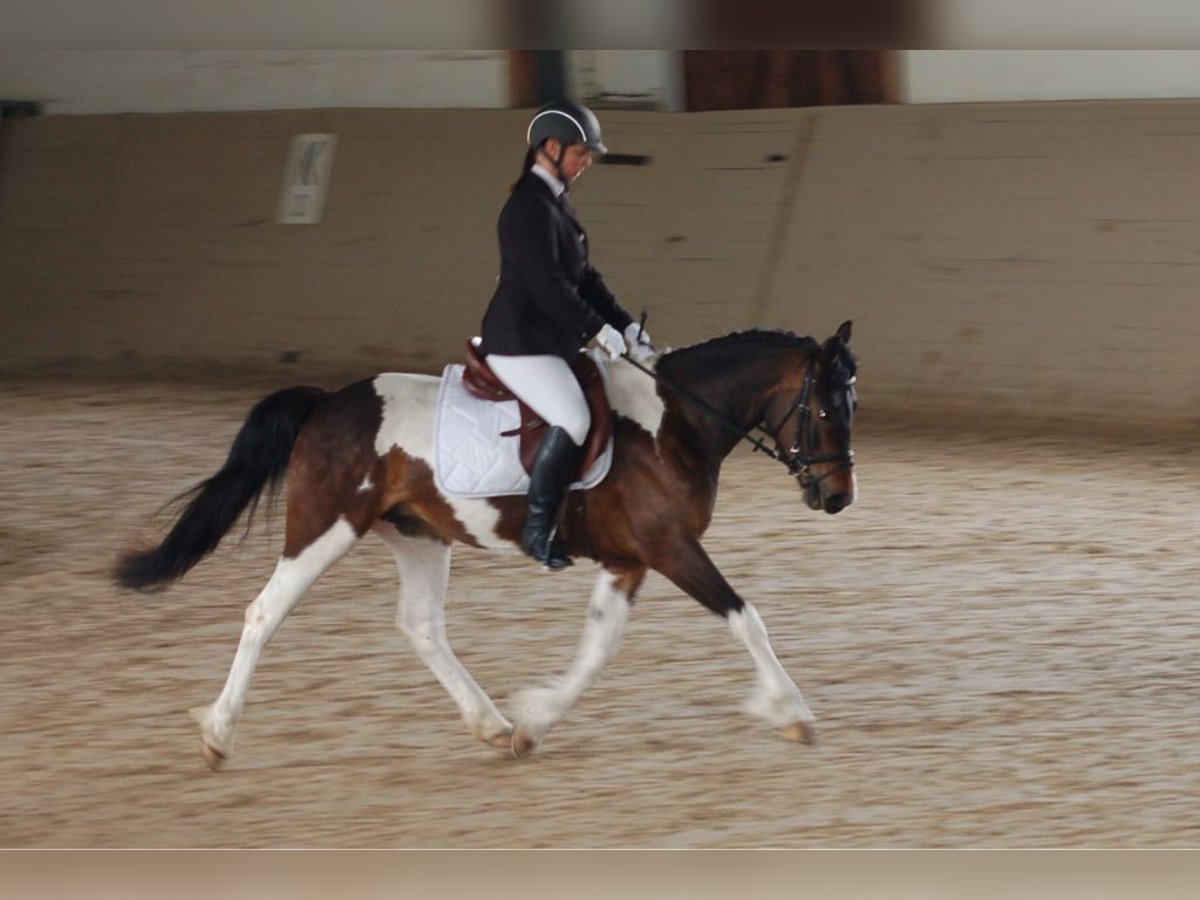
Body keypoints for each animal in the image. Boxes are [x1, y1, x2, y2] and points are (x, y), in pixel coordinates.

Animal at [117, 321, 859, 772]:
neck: (671, 421)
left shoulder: (629, 560)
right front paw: (793, 714)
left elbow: (598, 647)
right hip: (325, 527)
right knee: (264, 613)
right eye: (826, 409)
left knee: (420, 626)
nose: (839, 498)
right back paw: (217, 735)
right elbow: (745, 617)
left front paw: (534, 721)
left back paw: (492, 724)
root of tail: (327, 403)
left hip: (418, 536)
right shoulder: (670, 547)